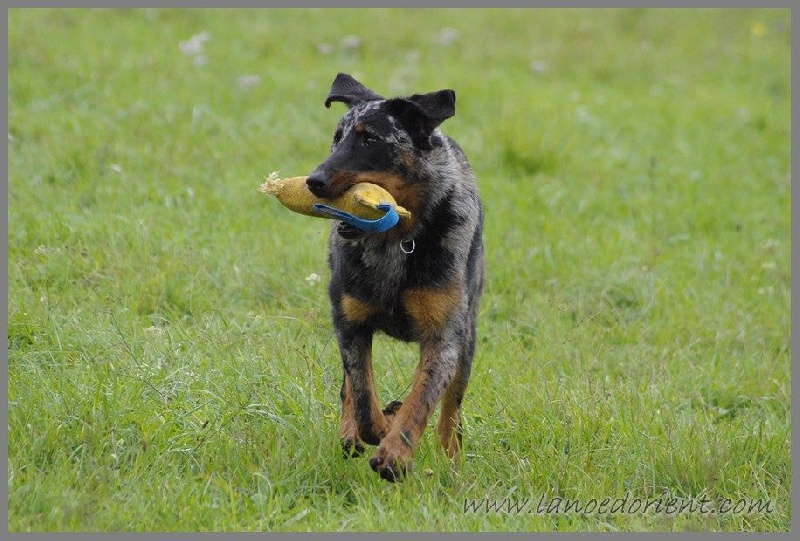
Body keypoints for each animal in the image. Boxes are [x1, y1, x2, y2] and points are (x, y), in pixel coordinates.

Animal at [305, 73, 484, 482]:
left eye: (370, 139)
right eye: (337, 137)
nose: (313, 180)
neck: (397, 240)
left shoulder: (444, 336)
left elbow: (422, 399)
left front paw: (395, 454)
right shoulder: (350, 322)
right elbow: (362, 398)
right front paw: (380, 427)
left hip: (468, 337)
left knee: (450, 416)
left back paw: (452, 466)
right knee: (350, 390)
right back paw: (351, 433)